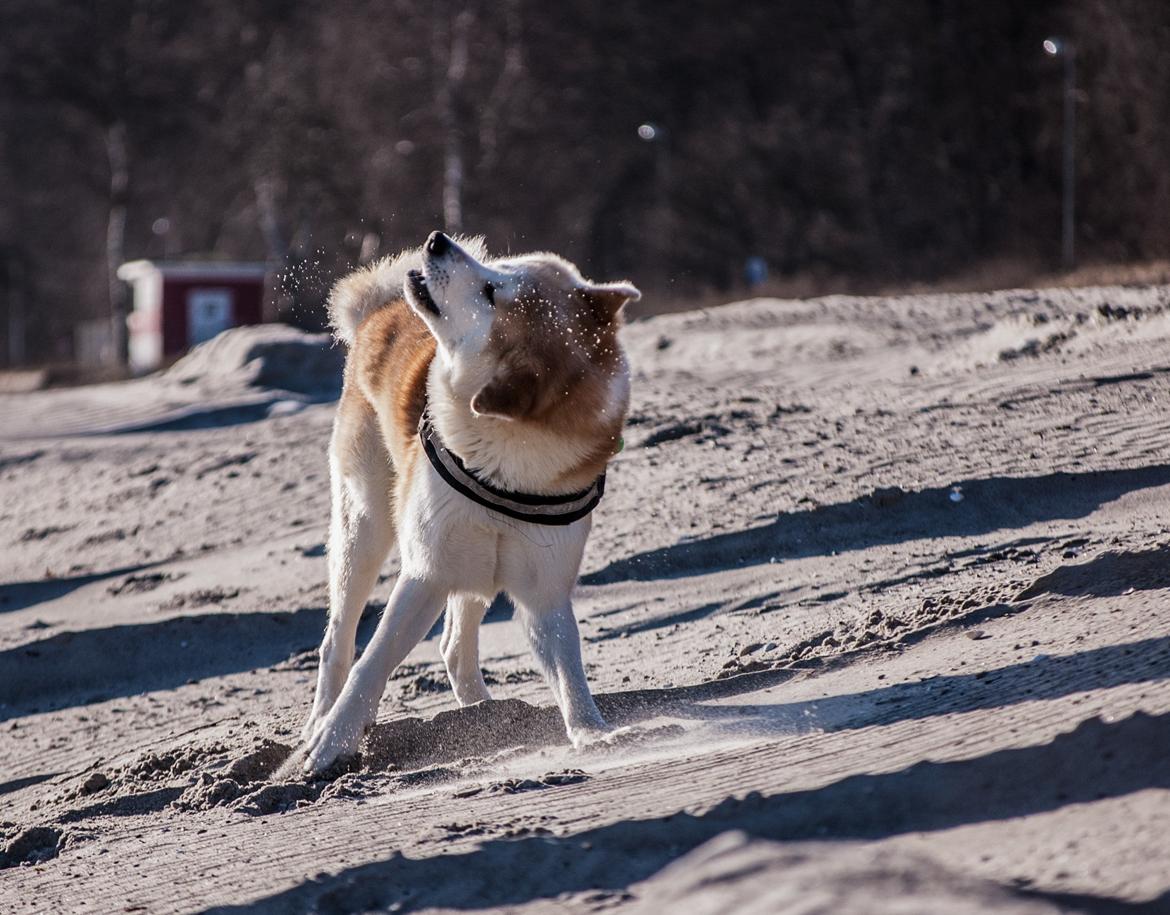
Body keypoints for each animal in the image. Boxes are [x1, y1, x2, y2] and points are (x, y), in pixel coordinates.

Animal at [297, 231, 636, 772]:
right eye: (503, 267)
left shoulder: (544, 593)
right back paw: (319, 720)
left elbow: (569, 672)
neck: (509, 457)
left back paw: (483, 716)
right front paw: (334, 738)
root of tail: (381, 309)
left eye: (491, 292)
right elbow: (372, 664)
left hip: (475, 562)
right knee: (339, 642)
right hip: (365, 530)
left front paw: (591, 732)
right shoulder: (425, 574)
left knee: (456, 645)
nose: (437, 240)